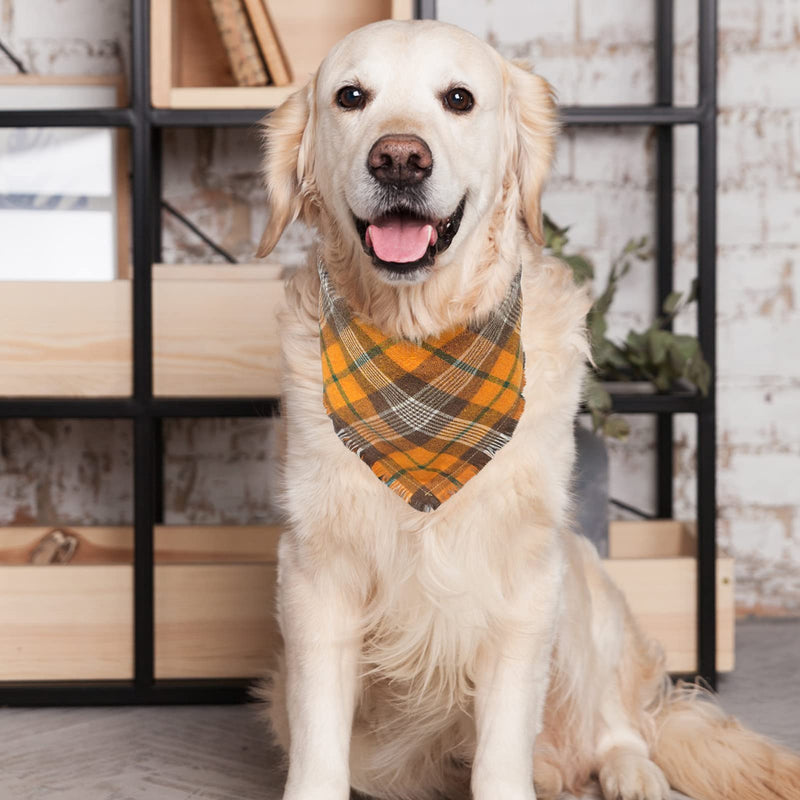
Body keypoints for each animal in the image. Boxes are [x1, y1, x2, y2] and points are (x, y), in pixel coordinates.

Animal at [258, 18, 800, 800]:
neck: (420, 351)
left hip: (583, 589)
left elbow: (503, 751)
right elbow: (319, 744)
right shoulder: (314, 574)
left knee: (621, 723)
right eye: (350, 97)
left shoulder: (524, 581)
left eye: (458, 98)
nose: (399, 159)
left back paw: (631, 771)